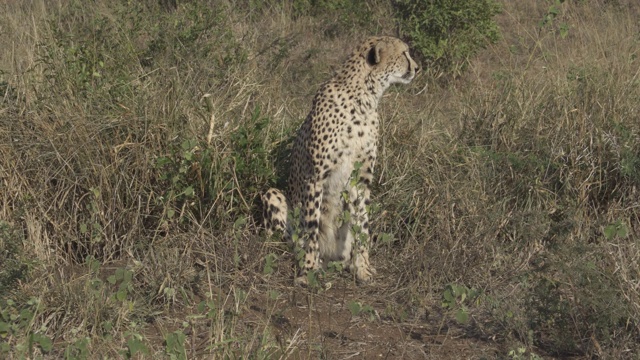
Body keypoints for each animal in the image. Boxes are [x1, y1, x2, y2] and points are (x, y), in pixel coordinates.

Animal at [262, 35, 418, 284]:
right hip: (272, 196)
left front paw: (363, 268)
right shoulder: (315, 177)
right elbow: (312, 226)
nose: (417, 68)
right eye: (404, 53)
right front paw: (308, 271)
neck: (364, 98)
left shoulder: (361, 179)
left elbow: (363, 226)